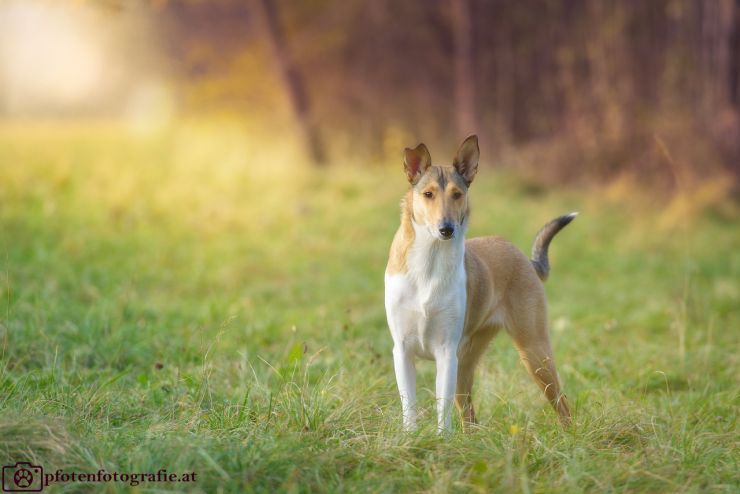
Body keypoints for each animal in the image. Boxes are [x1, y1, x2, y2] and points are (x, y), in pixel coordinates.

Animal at [384, 135, 576, 432]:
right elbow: (410, 408)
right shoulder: (402, 351)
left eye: (457, 194)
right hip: (467, 362)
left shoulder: (445, 352)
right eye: (428, 194)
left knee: (562, 404)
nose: (446, 229)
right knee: (470, 416)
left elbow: (442, 409)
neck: (429, 262)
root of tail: (523, 257)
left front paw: (441, 439)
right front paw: (411, 437)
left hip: (533, 352)